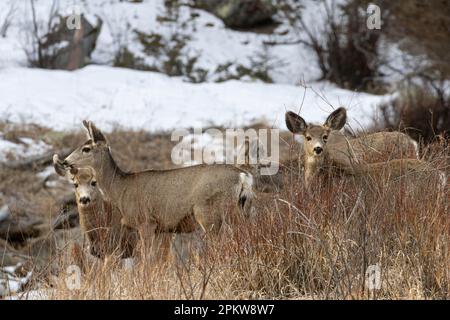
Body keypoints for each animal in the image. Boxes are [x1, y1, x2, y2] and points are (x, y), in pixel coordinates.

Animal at [53, 121, 253, 244]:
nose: (65, 161)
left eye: (86, 148)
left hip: (209, 211)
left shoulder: (145, 222)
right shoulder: (159, 229)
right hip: (241, 209)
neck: (120, 189)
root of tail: (242, 176)